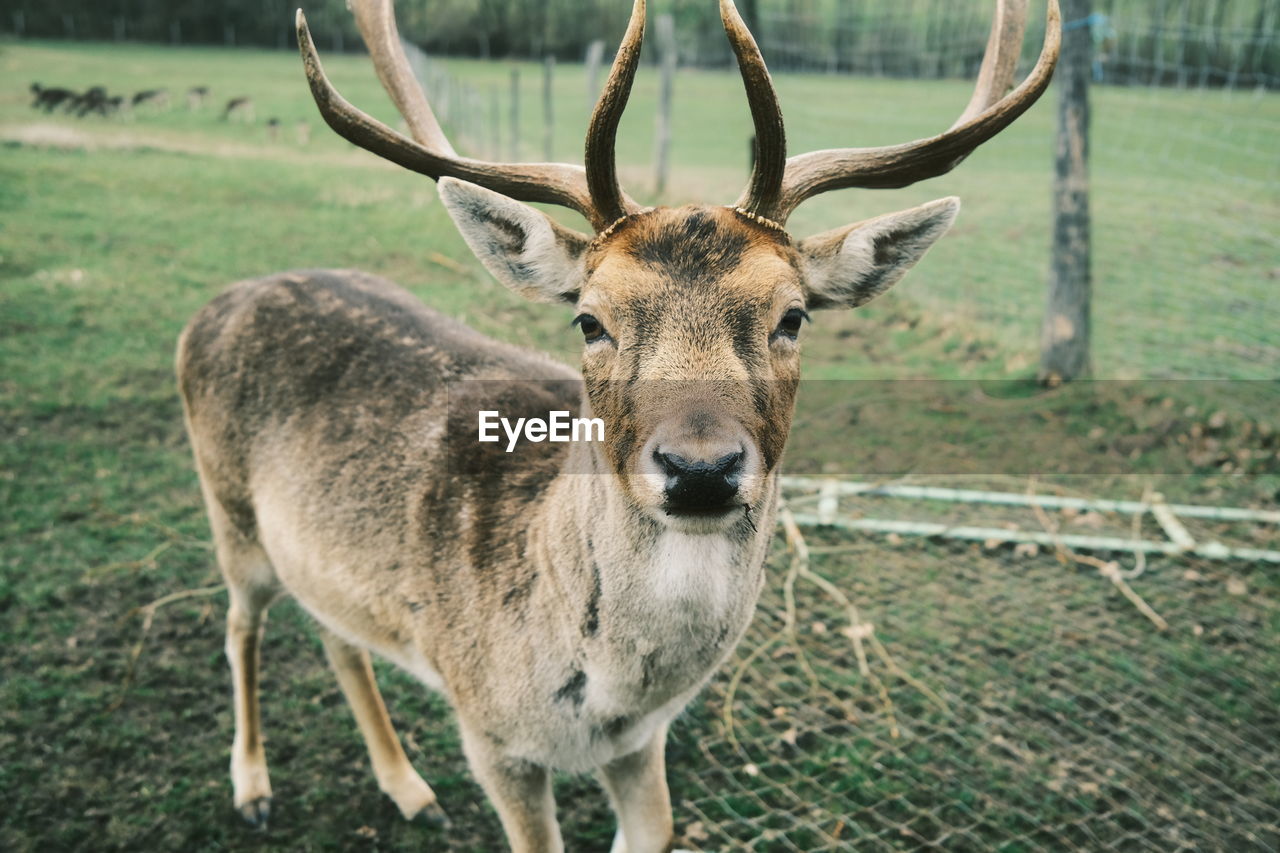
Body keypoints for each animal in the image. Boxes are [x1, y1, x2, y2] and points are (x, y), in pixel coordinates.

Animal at [177, 1, 1059, 850]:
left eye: (794, 316)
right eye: (590, 320)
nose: (700, 467)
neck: (599, 700)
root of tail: (220, 301)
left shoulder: (643, 741)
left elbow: (655, 829)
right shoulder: (490, 733)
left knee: (336, 630)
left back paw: (409, 790)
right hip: (228, 510)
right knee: (240, 622)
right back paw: (252, 788)